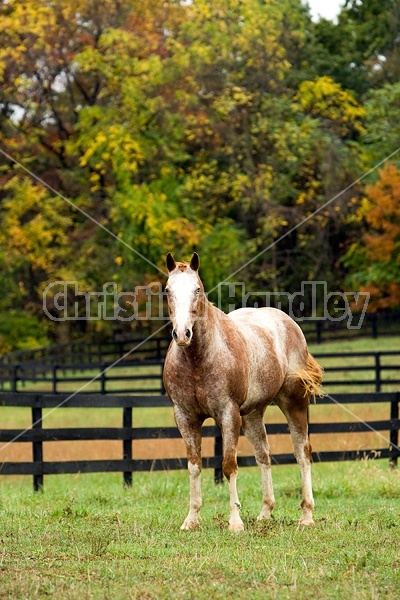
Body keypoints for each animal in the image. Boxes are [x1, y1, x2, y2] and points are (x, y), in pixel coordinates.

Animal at [161, 251, 324, 532]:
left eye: (197, 289)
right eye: (168, 290)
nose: (182, 334)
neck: (197, 360)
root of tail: (288, 323)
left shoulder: (228, 415)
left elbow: (229, 466)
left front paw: (235, 522)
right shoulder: (185, 417)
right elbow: (194, 466)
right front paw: (191, 519)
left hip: (293, 402)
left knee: (302, 452)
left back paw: (306, 515)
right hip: (253, 414)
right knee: (263, 455)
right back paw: (265, 512)